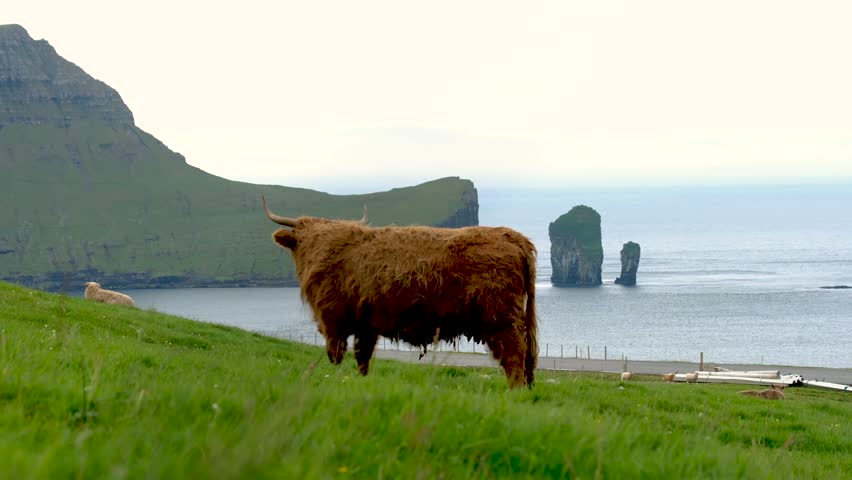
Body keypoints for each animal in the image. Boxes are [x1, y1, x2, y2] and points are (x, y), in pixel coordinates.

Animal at [262, 195, 538, 388]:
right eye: (302, 239)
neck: (323, 248)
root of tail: (513, 236)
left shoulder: (332, 319)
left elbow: (336, 356)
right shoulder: (366, 325)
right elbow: (362, 358)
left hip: (501, 318)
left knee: (514, 355)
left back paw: (514, 392)